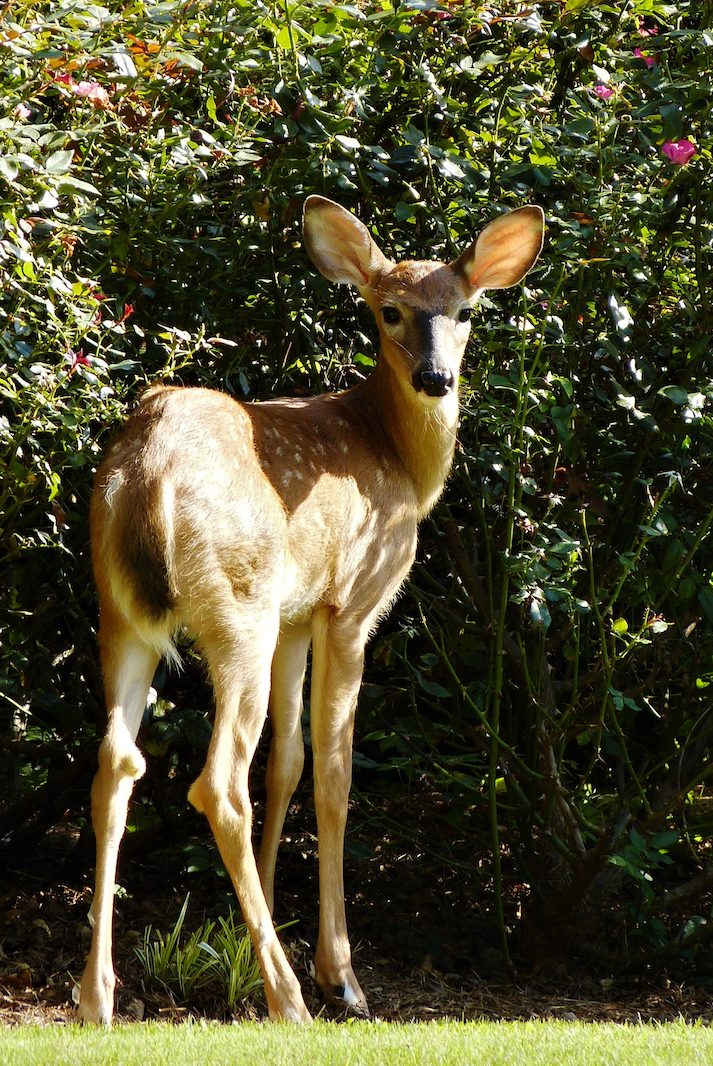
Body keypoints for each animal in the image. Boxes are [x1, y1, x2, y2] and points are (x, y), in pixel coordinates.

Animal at [77, 195, 544, 1025]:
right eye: (389, 310)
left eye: (463, 311)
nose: (435, 377)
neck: (396, 460)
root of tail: (146, 472)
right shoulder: (349, 603)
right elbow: (333, 772)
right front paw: (339, 974)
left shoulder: (298, 616)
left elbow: (286, 763)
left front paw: (248, 933)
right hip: (239, 607)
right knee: (216, 782)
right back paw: (289, 996)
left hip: (124, 612)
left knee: (115, 766)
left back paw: (96, 998)